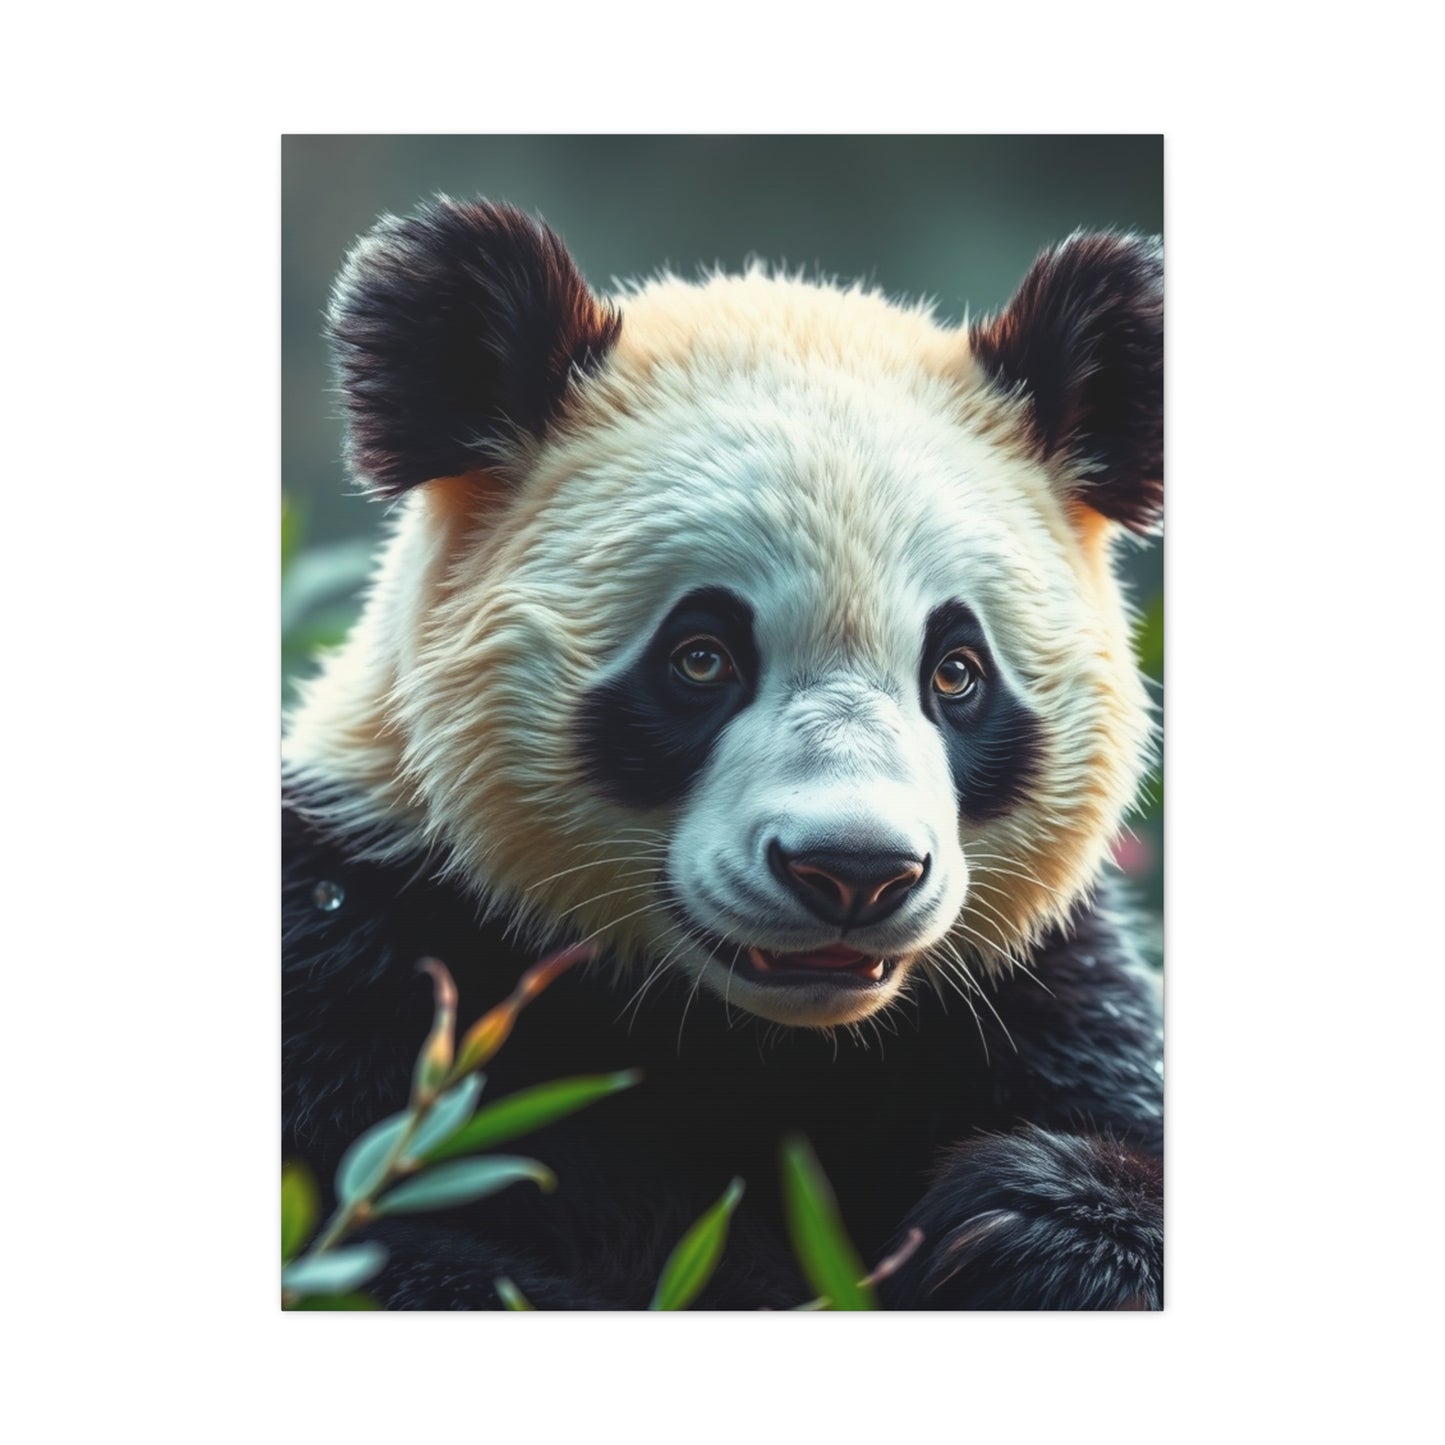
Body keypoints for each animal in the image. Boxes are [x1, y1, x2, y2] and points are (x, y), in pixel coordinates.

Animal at [283, 197, 1164, 1310]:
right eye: (700, 657)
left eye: (957, 672)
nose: (853, 870)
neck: (755, 1038)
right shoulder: (364, 950)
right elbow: (390, 1245)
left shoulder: (1035, 996)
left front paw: (1018, 1224)